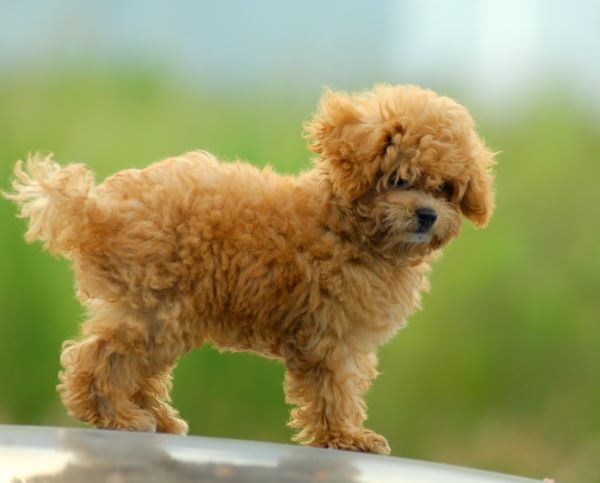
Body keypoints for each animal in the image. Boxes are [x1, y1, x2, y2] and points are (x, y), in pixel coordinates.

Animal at [5, 85, 496, 456]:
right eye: (399, 179)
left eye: (445, 188)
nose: (427, 215)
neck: (346, 227)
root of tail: (97, 210)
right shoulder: (332, 335)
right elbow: (335, 390)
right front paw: (346, 437)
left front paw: (344, 436)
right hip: (155, 310)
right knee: (99, 359)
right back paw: (117, 416)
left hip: (161, 313)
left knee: (137, 369)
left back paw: (156, 417)